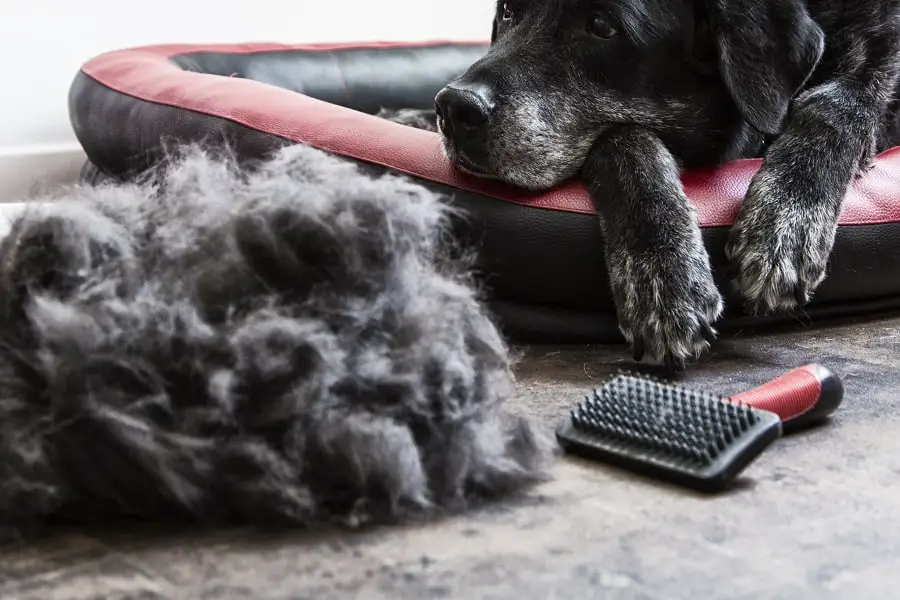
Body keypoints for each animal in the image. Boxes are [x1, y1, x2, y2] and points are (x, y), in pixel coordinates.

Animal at [390, 0, 900, 370]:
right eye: (508, 12)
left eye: (601, 26)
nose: (455, 107)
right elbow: (624, 136)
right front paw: (664, 275)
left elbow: (835, 103)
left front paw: (784, 224)